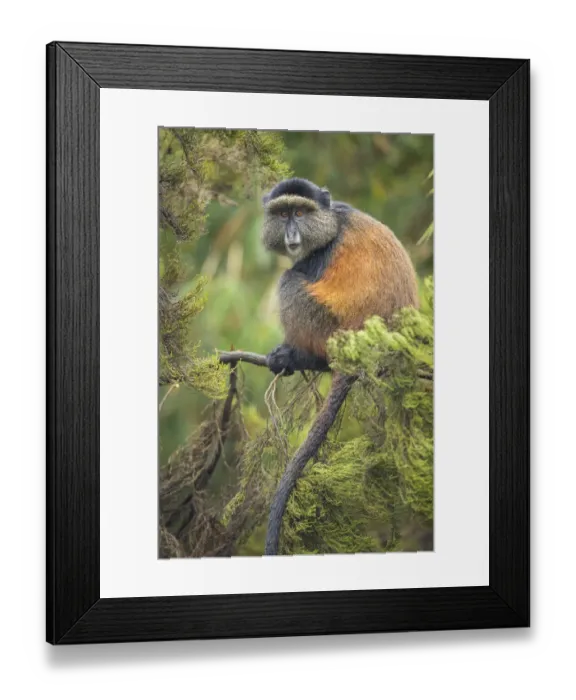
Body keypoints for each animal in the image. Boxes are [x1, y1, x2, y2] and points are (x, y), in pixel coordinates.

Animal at [261, 177, 420, 376]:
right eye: (283, 214)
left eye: (299, 213)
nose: (291, 233)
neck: (333, 223)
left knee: (288, 280)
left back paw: (304, 357)